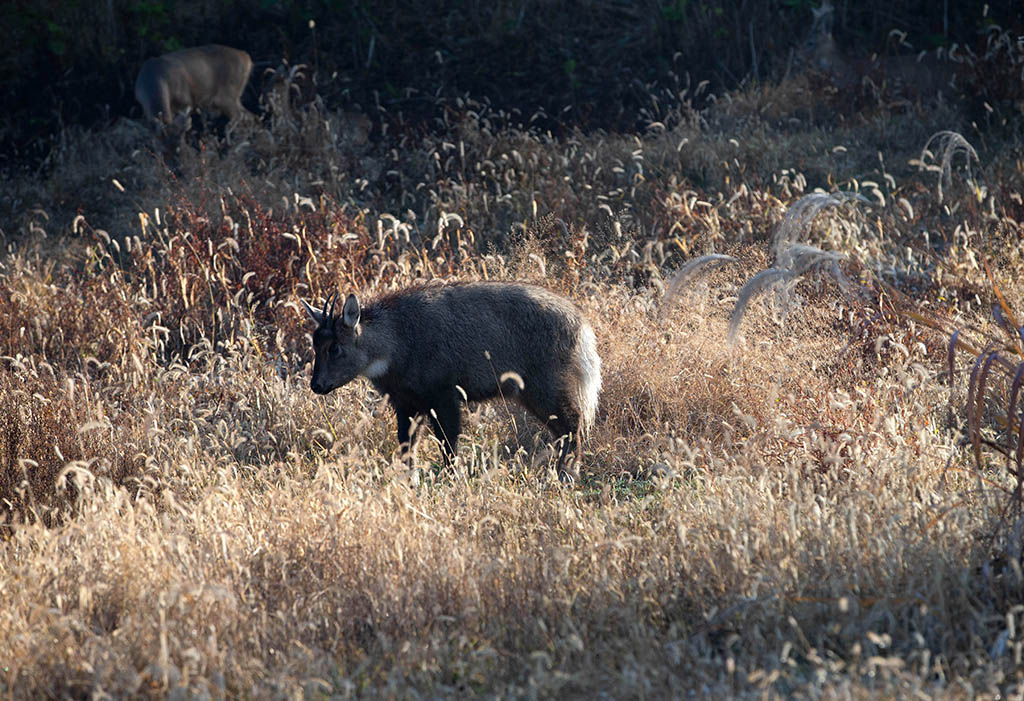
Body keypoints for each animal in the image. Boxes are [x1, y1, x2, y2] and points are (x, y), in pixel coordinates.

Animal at [299, 282, 598, 478]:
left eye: (335, 347)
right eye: (315, 343)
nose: (317, 385)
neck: (396, 342)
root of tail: (582, 327)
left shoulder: (444, 397)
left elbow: (449, 444)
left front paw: (451, 479)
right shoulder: (407, 403)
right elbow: (407, 445)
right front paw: (409, 480)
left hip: (546, 388)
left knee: (574, 423)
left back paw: (567, 474)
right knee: (565, 430)